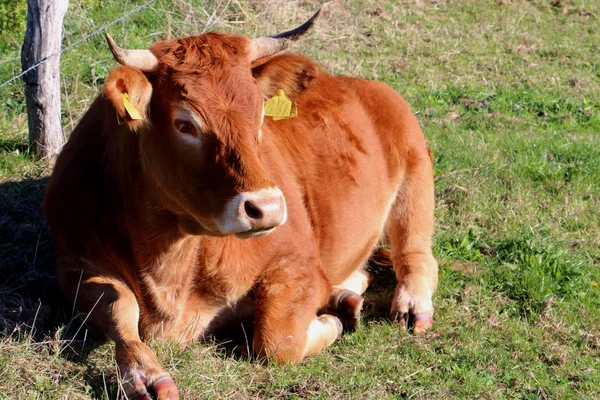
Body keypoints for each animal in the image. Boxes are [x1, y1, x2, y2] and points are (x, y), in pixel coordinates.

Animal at [42, 9, 436, 400]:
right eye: (184, 124)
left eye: (260, 115)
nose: (268, 208)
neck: (167, 264)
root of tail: (355, 82)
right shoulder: (73, 265)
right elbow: (118, 307)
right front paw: (143, 372)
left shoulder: (298, 262)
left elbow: (277, 340)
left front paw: (329, 322)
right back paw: (345, 298)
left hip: (416, 168)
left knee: (416, 256)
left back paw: (407, 303)